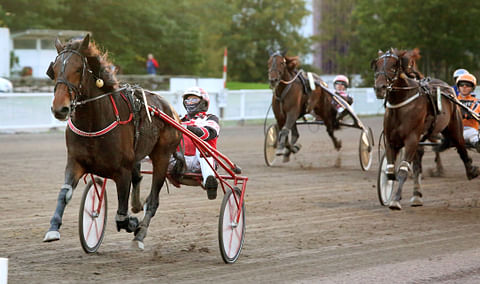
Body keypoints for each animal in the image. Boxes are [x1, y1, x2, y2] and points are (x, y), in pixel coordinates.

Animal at [43, 34, 181, 250]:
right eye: (54, 70)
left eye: (78, 69)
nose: (60, 108)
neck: (93, 123)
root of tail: (170, 110)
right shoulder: (75, 162)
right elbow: (64, 194)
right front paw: (53, 229)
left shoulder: (122, 171)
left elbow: (121, 217)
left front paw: (133, 223)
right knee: (138, 178)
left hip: (162, 156)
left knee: (153, 200)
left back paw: (140, 234)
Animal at [374, 47, 478, 210]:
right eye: (376, 65)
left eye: (393, 65)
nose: (380, 88)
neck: (401, 104)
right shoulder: (391, 141)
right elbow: (390, 171)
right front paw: (390, 192)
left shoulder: (411, 139)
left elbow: (402, 170)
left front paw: (395, 200)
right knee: (418, 164)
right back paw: (417, 196)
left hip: (454, 127)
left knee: (461, 146)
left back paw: (471, 171)